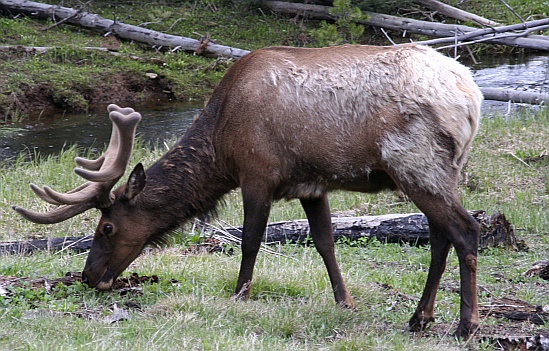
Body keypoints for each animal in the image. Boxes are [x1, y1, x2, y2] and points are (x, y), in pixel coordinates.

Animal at [12, 44, 482, 338]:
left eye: (106, 227)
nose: (90, 277)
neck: (220, 143)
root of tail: (472, 97)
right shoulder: (312, 184)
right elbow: (325, 242)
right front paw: (344, 302)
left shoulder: (258, 173)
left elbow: (251, 239)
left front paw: (240, 294)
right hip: (439, 169)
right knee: (439, 236)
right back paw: (419, 318)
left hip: (413, 161)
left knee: (466, 230)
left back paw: (465, 325)